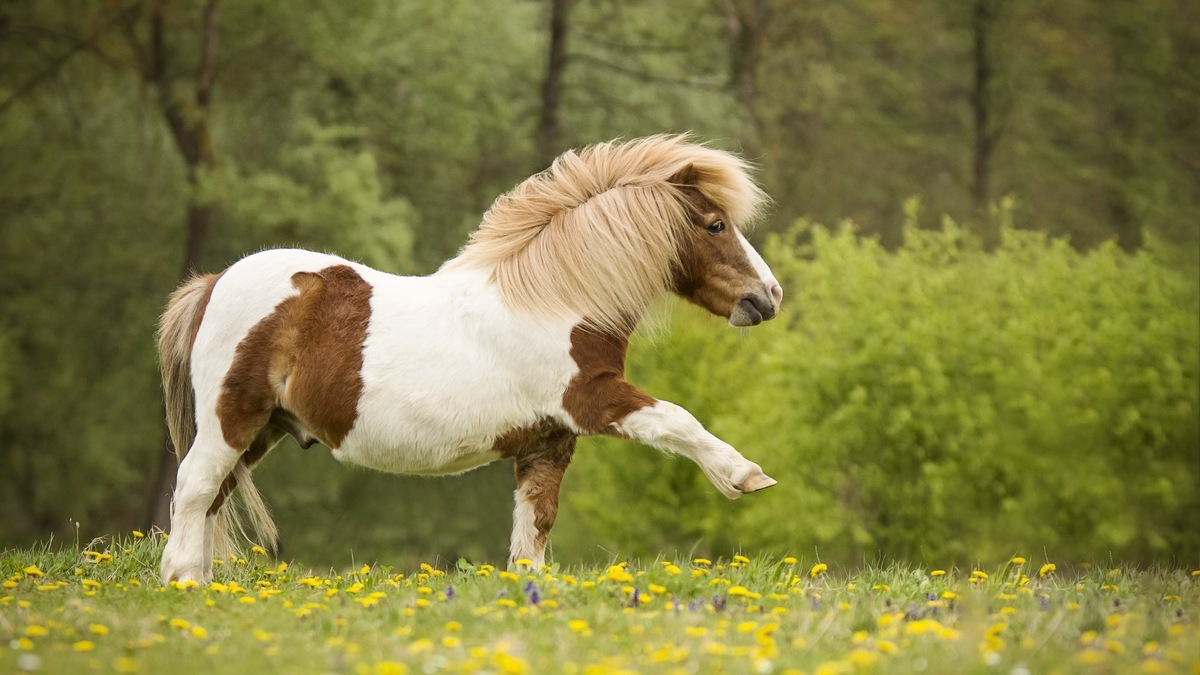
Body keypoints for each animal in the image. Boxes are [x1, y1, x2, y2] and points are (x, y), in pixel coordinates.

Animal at [156, 135, 783, 583]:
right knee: (193, 488)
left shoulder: (548, 442)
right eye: (716, 225)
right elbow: (678, 419)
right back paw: (183, 581)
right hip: (231, 419)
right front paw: (746, 477)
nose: (769, 296)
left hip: (263, 429)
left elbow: (534, 527)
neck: (558, 302)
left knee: (212, 499)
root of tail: (214, 283)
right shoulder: (593, 401)